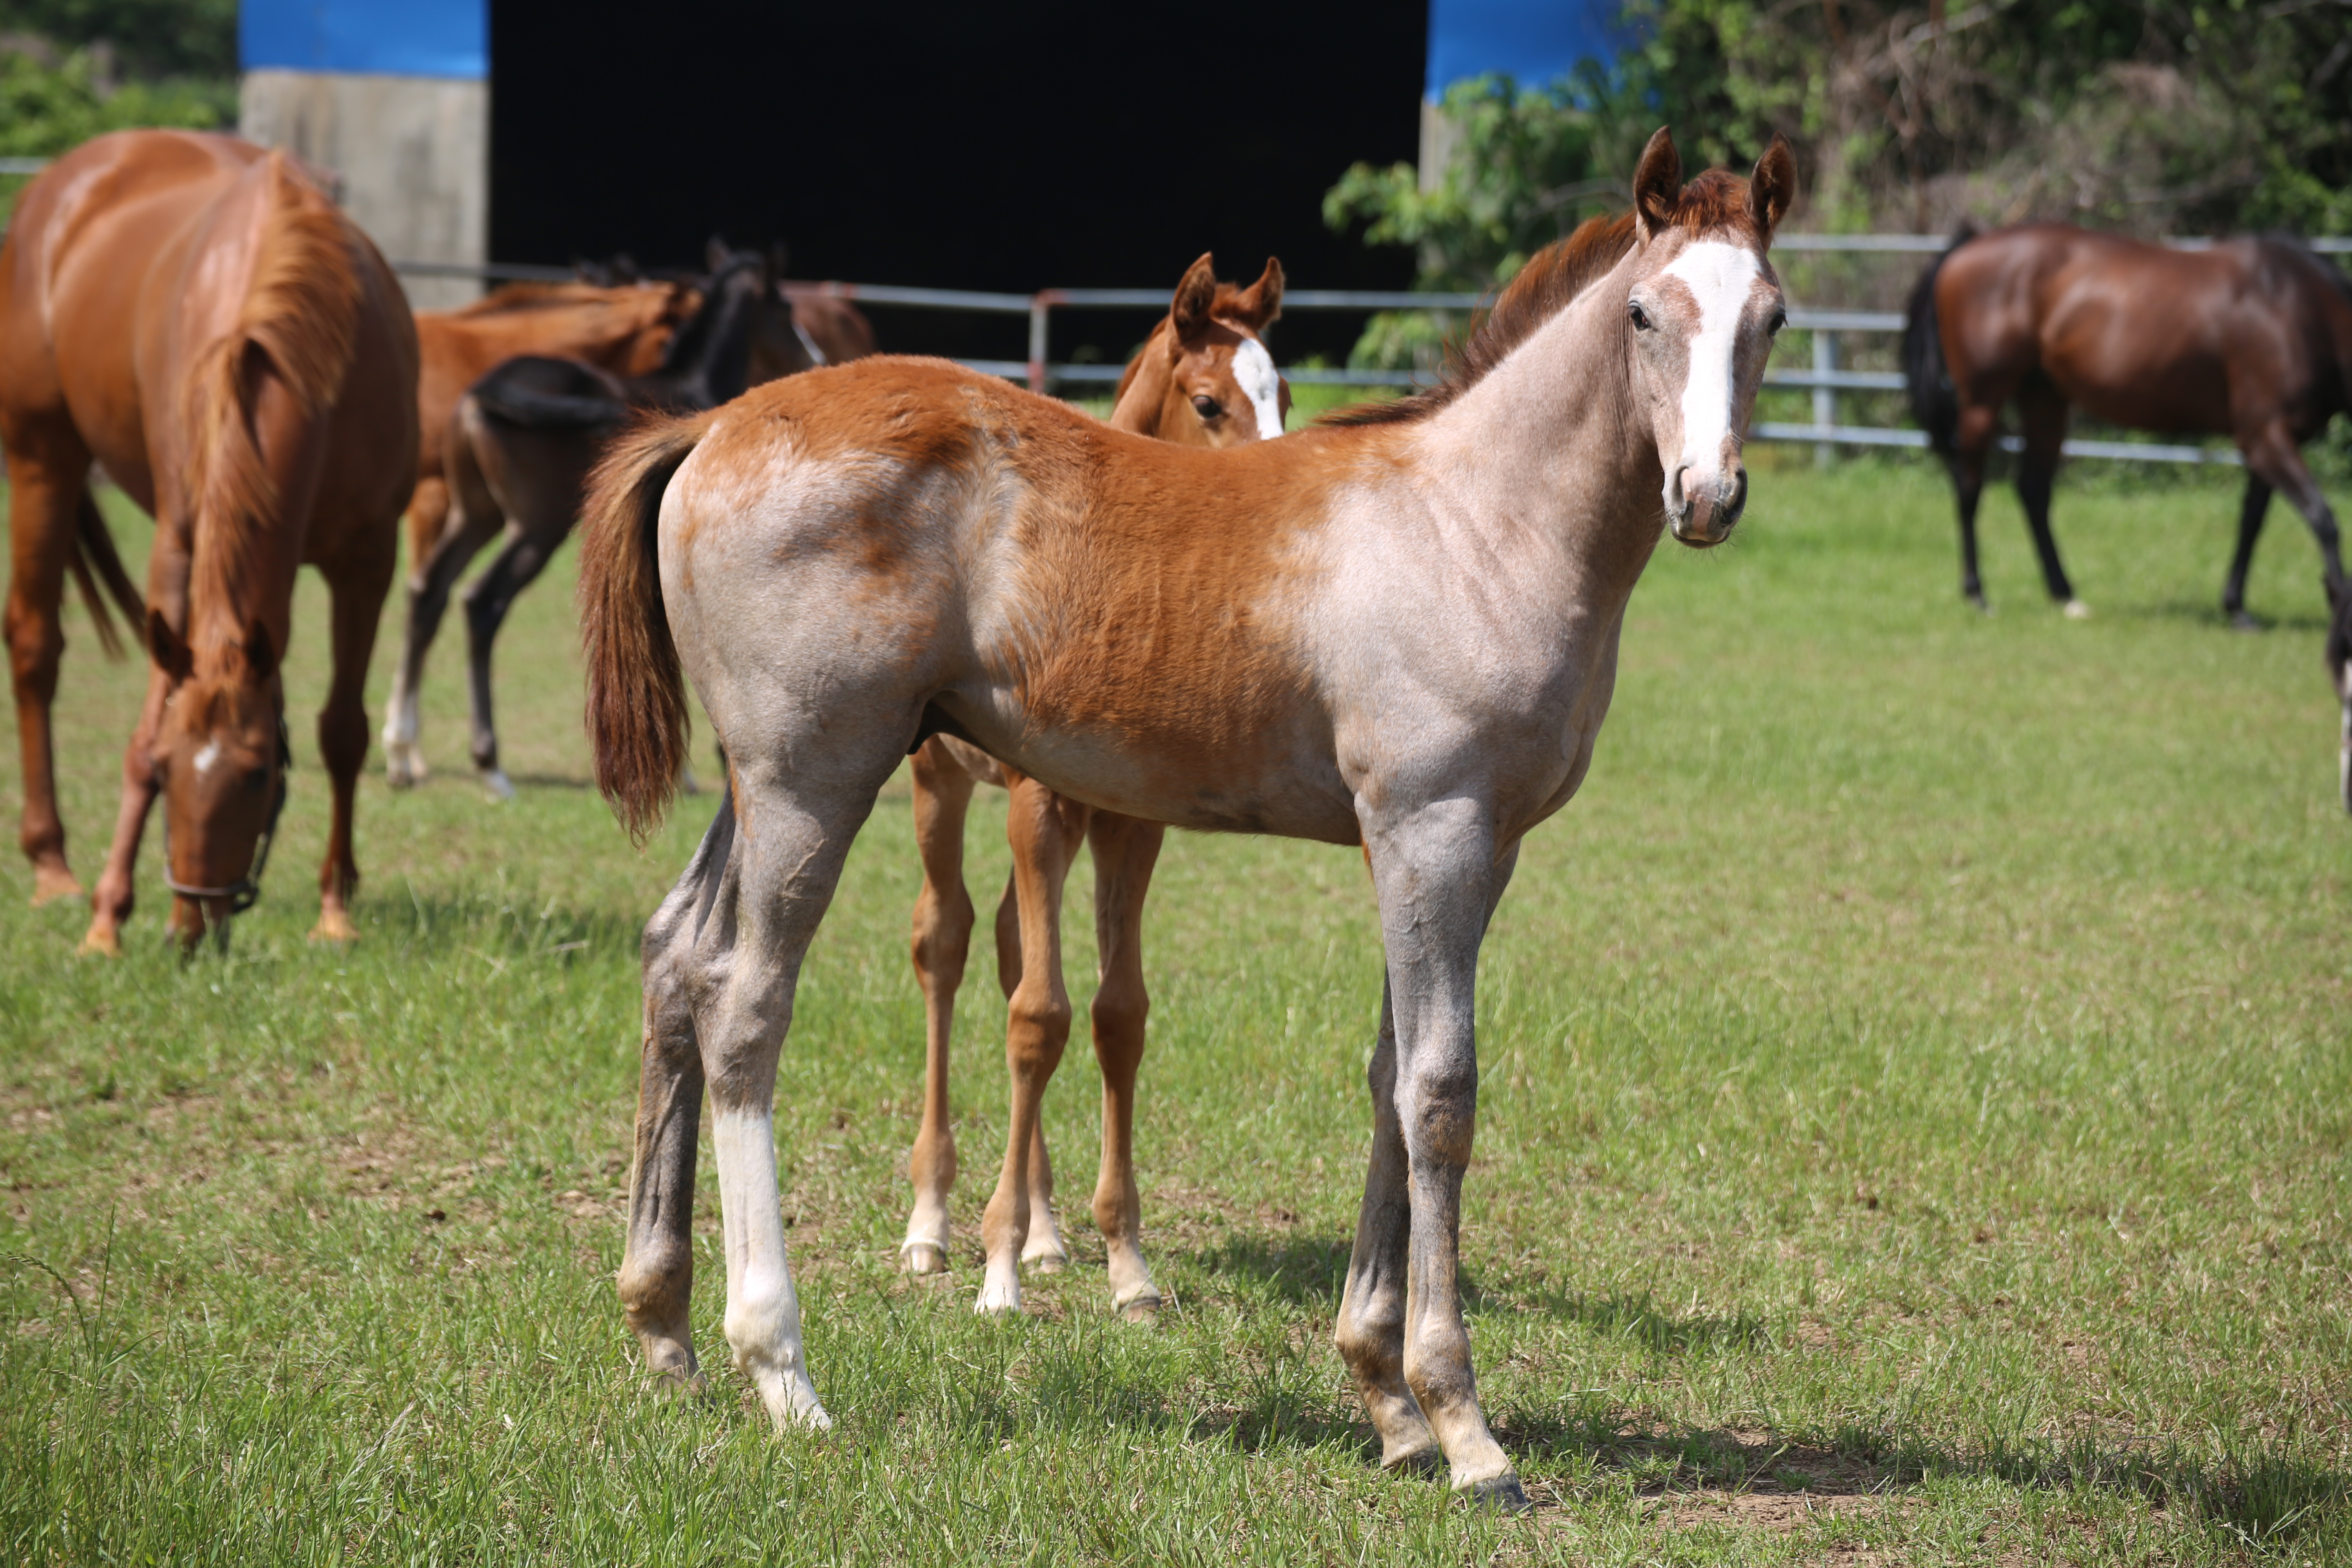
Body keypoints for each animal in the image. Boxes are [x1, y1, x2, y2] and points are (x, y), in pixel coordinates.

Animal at [0, 129, 419, 949]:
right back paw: (53, 868)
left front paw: (334, 909)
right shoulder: (178, 540)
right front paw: (107, 917)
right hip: (40, 458)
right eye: (169, 772)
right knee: (35, 646)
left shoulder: (369, 557)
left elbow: (342, 731)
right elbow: (143, 726)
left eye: (257, 773)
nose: (193, 920)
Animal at [898, 257, 1289, 1326]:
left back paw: (1044, 1231)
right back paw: (931, 1224)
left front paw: (1127, 1266)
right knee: (946, 942)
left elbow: (1115, 1014)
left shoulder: (1131, 824)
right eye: (1210, 401)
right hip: (942, 783)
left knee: (1005, 946)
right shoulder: (1036, 810)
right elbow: (1039, 1018)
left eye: (1282, 389)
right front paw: (993, 1273)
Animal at [1910, 225, 2352, 625]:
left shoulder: (2269, 443)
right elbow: (2324, 520)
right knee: (1969, 489)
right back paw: (1978, 595)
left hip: (2045, 400)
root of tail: (1970, 244)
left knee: (2033, 491)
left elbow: (2253, 521)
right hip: (1982, 403)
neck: (2297, 309)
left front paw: (2237, 608)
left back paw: (2065, 595)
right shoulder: (2266, 436)